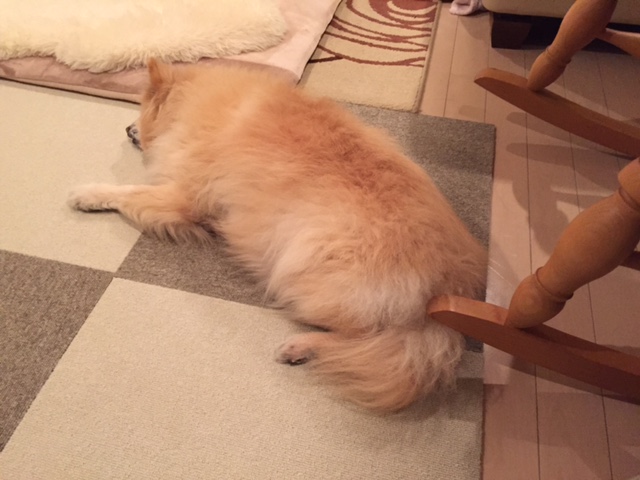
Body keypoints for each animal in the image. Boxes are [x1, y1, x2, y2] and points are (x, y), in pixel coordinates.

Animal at [68, 59, 487, 413]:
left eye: (140, 109)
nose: (127, 129)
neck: (193, 105)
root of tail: (448, 289)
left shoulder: (183, 195)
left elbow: (127, 193)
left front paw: (87, 194)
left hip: (303, 278)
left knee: (369, 340)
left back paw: (301, 347)